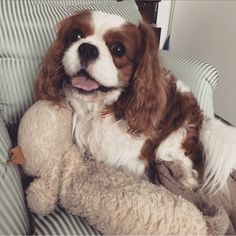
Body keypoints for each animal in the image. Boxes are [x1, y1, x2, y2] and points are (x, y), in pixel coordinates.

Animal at [35, 10, 236, 195]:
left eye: (118, 50)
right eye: (76, 36)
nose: (87, 48)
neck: (101, 109)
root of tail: (204, 120)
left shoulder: (133, 162)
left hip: (176, 136)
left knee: (182, 159)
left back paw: (187, 178)